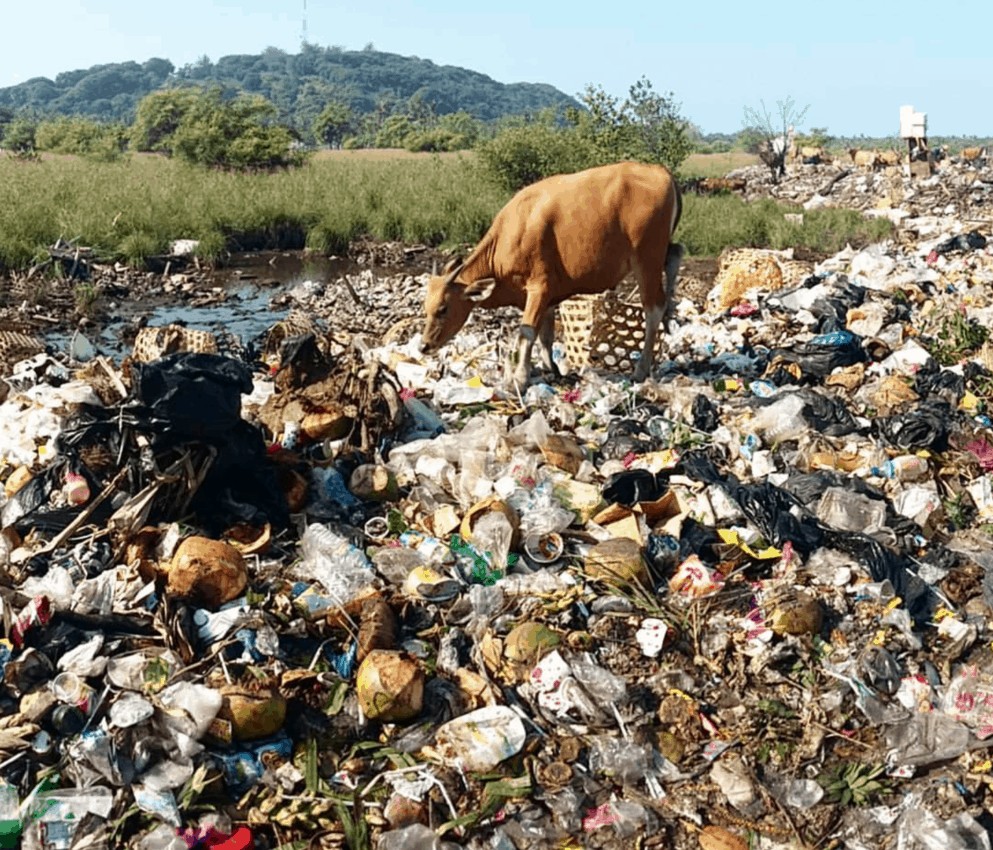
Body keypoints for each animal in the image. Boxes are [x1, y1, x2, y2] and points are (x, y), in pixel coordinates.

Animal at [418, 160, 680, 384]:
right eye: (426, 308)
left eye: (443, 309)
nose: (424, 346)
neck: (514, 231)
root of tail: (661, 171)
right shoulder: (550, 295)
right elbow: (546, 335)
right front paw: (549, 368)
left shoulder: (539, 288)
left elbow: (527, 332)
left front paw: (521, 377)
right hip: (660, 251)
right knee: (676, 255)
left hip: (646, 258)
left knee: (653, 308)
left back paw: (641, 369)